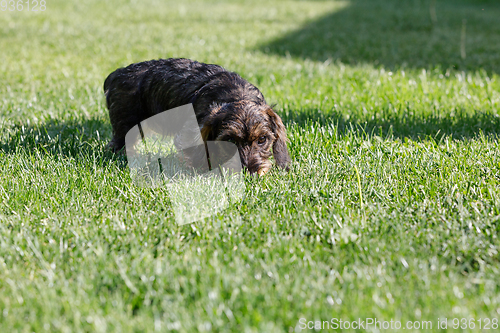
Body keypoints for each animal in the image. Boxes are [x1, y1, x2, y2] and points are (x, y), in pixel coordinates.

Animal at [105, 58, 292, 175]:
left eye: (262, 139)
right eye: (230, 140)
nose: (250, 172)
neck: (236, 94)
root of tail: (117, 74)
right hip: (126, 125)